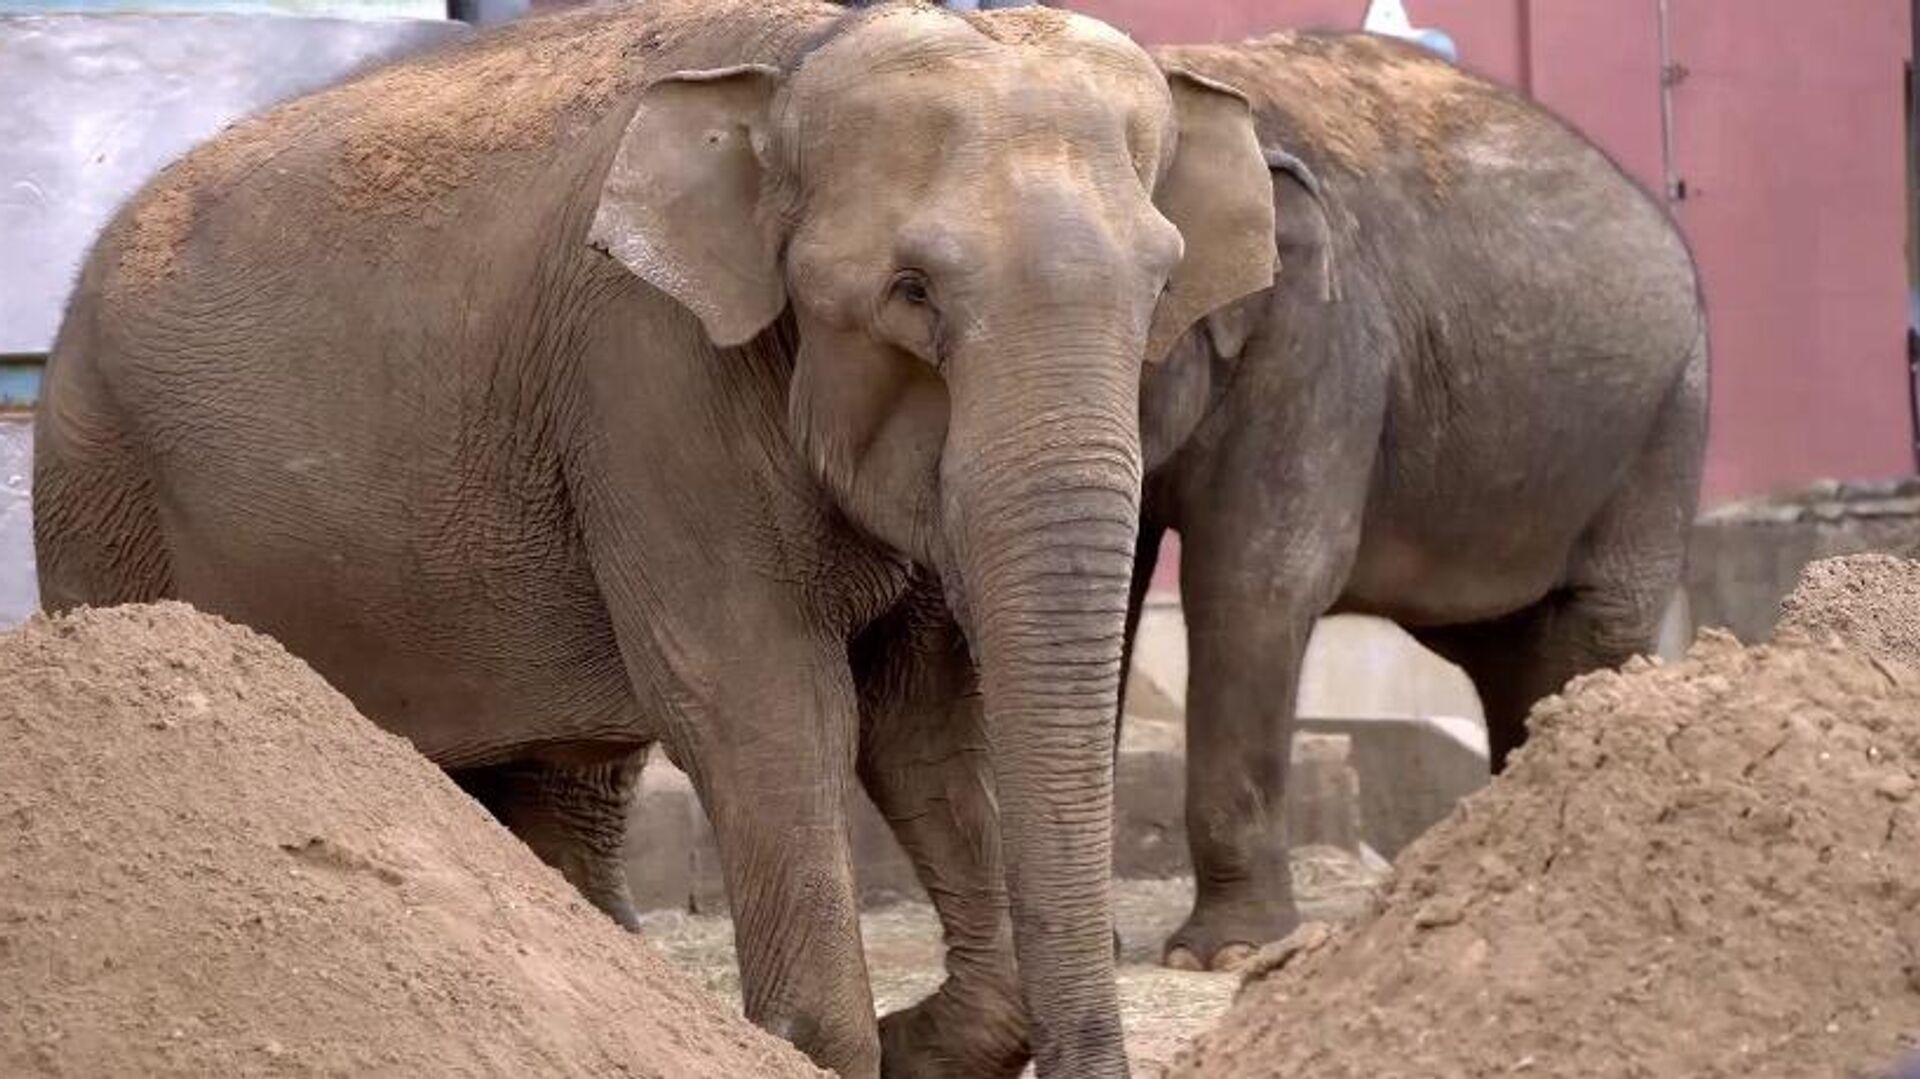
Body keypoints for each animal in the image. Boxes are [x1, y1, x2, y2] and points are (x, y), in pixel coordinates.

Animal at [30, 4, 1282, 1067]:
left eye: (1163, 286)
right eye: (912, 291)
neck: (802, 55)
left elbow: (922, 722)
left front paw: (912, 1037)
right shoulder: (646, 372)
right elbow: (766, 705)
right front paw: (827, 1040)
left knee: (563, 785)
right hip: (99, 480)